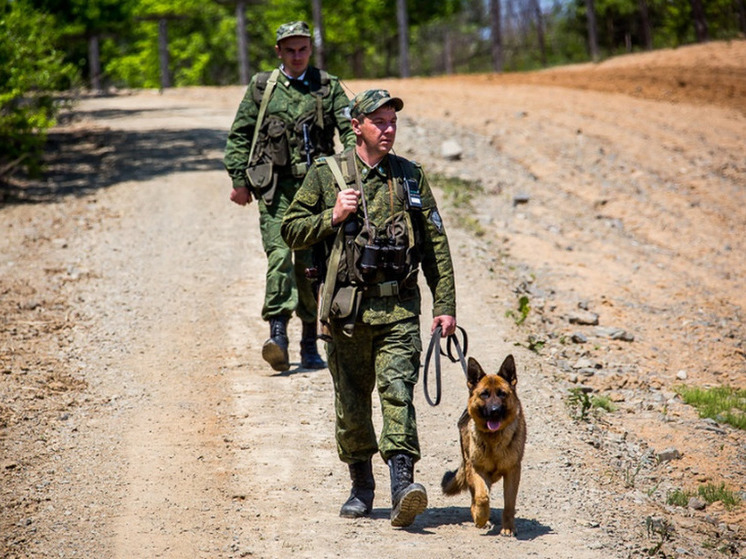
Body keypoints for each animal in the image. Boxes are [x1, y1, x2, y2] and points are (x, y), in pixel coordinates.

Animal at [438, 356, 528, 536]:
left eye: (502, 394)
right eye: (484, 394)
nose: (494, 411)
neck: (493, 439)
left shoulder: (513, 472)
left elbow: (509, 504)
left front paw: (508, 527)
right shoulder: (477, 469)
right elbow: (481, 497)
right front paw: (480, 517)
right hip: (470, 467)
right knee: (476, 495)